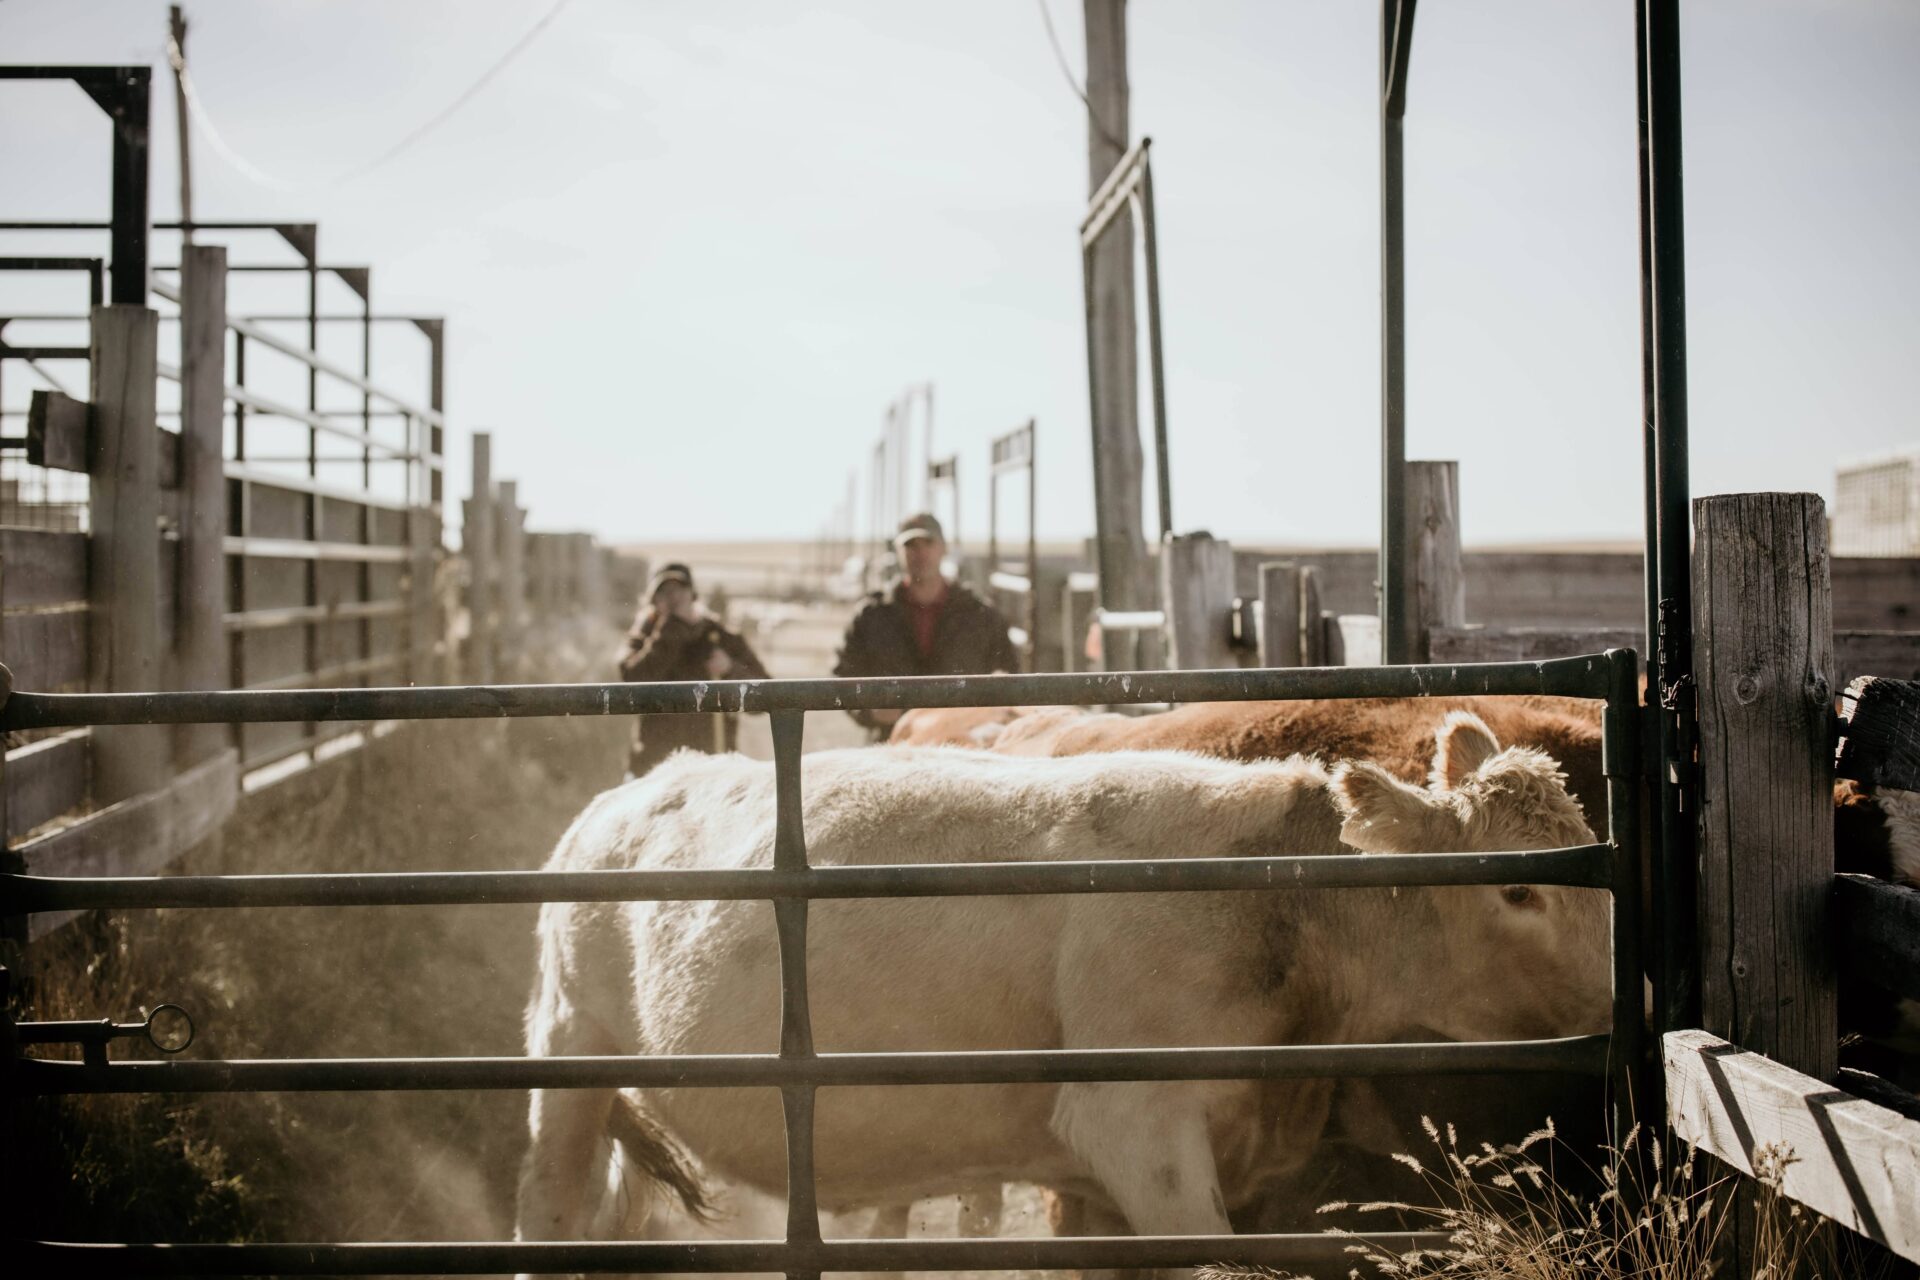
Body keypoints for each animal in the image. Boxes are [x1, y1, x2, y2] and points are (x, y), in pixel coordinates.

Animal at [510, 721, 1605, 1258]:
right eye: (1516, 888)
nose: (1613, 990)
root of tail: (632, 788)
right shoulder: (1132, 1121)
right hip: (568, 1054)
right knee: (551, 1214)